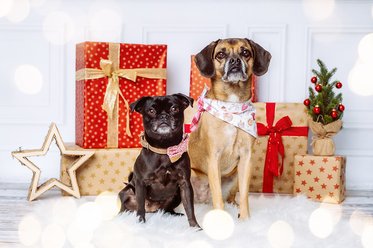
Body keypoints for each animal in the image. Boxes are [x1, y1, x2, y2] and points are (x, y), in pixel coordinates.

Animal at [119, 93, 201, 229]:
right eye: (151, 111)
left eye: (174, 108)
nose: (163, 116)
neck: (164, 149)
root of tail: (152, 210)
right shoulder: (141, 183)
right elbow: (140, 208)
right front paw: (140, 223)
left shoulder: (185, 185)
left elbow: (190, 208)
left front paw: (195, 227)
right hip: (126, 192)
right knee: (126, 207)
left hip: (177, 195)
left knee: (166, 210)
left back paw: (174, 214)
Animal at [189, 38, 270, 219]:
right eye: (220, 54)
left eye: (245, 52)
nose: (234, 61)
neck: (232, 107)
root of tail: (202, 200)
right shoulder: (214, 158)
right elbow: (218, 197)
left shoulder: (246, 158)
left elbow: (245, 194)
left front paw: (245, 219)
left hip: (234, 177)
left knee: (230, 197)